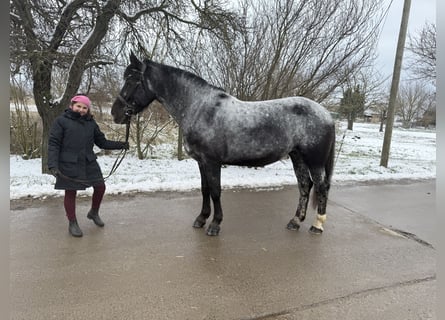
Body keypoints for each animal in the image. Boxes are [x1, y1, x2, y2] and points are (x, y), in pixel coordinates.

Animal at [112, 52, 336, 236]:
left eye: (132, 80)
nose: (116, 113)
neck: (200, 108)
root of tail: (326, 114)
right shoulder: (201, 161)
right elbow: (204, 189)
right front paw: (201, 219)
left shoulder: (212, 161)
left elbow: (216, 191)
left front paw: (214, 225)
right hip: (297, 156)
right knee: (305, 186)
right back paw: (295, 222)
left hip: (314, 161)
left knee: (321, 187)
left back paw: (317, 225)